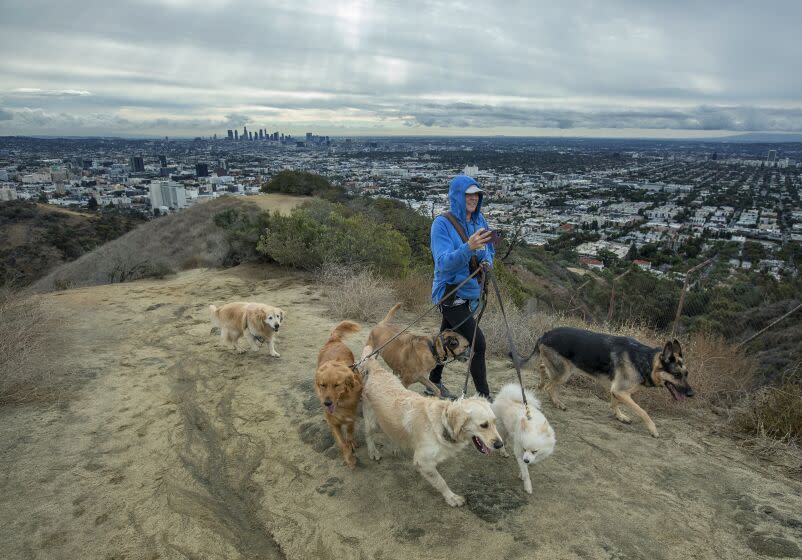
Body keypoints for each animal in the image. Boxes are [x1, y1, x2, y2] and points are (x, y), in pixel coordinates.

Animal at [314, 320, 360, 468]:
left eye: (337, 385)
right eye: (322, 385)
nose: (327, 403)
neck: (342, 403)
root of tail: (334, 340)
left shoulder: (351, 416)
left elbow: (350, 432)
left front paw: (351, 442)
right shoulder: (333, 423)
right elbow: (342, 443)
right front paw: (350, 458)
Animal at [360, 346, 504, 508]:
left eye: (495, 422)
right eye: (483, 425)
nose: (500, 444)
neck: (442, 422)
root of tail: (377, 369)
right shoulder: (422, 460)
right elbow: (441, 481)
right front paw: (452, 497)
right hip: (371, 420)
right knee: (368, 435)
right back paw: (373, 451)